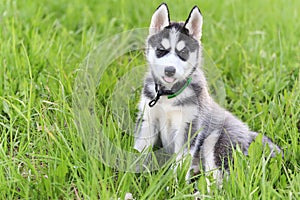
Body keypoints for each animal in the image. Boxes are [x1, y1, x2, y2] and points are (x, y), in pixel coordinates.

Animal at [134, 2, 282, 184]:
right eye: (161, 50)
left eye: (183, 53)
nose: (169, 70)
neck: (168, 94)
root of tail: (249, 133)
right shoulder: (148, 120)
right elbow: (139, 150)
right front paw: (130, 177)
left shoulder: (189, 126)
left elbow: (181, 162)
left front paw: (175, 185)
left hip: (216, 142)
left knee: (219, 180)